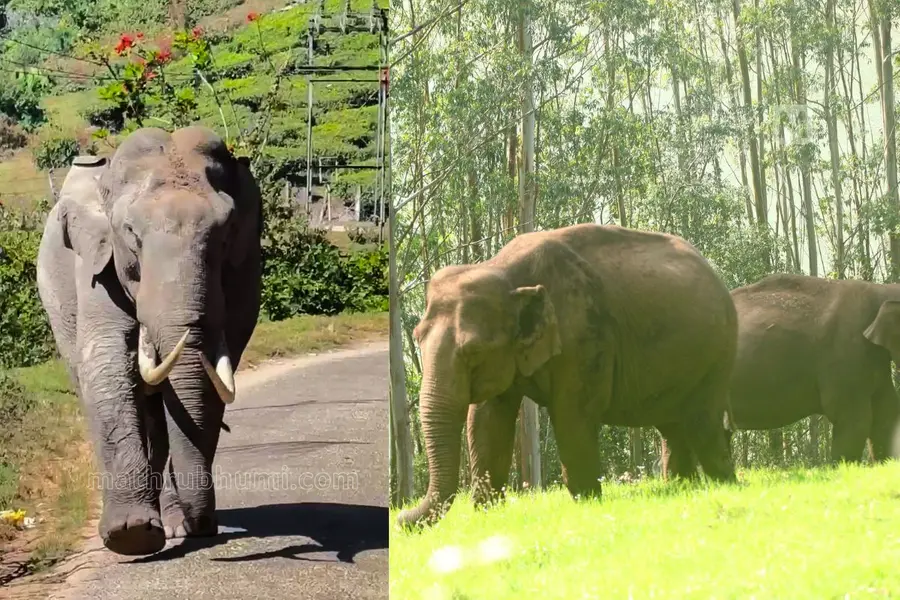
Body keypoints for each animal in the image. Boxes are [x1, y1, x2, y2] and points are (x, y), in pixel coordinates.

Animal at [36, 126, 262, 555]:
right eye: (131, 236)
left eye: (225, 238)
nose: (206, 525)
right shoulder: (96, 267)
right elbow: (106, 366)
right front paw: (132, 535)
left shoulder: (244, 275)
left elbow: (213, 380)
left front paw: (175, 529)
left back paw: (172, 526)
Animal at [396, 223, 739, 527]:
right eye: (416, 337)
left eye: (474, 351)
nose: (401, 517)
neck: (502, 270)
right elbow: (487, 419)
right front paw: (487, 512)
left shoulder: (584, 335)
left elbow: (572, 413)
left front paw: (588, 503)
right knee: (672, 425)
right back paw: (681, 488)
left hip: (719, 352)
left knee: (702, 422)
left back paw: (725, 484)